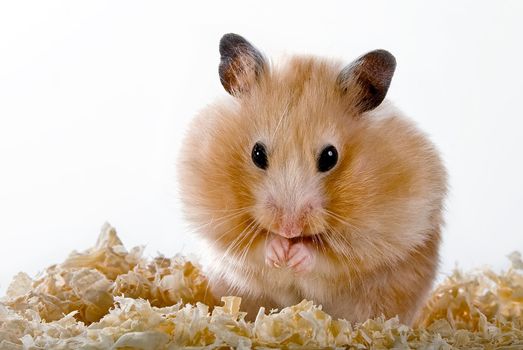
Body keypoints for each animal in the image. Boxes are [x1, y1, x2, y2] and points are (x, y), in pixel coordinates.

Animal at [178, 33, 448, 326]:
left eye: (330, 157)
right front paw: (279, 253)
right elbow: (253, 245)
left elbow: (331, 255)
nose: (289, 230)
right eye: (257, 153)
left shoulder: (378, 235)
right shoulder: (219, 223)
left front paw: (294, 255)